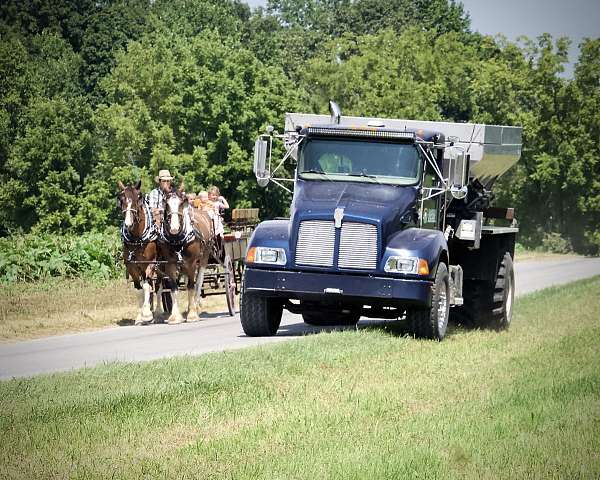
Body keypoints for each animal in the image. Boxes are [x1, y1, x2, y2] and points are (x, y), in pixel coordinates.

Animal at [116, 180, 159, 326]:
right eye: (121, 199)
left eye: (138, 198)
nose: (128, 224)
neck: (137, 238)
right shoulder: (132, 266)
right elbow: (139, 289)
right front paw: (140, 316)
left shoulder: (150, 264)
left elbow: (146, 286)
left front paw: (147, 315)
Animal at [159, 182, 216, 324]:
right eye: (166, 203)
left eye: (181, 203)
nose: (174, 228)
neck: (177, 239)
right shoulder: (170, 263)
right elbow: (174, 288)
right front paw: (175, 316)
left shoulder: (191, 263)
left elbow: (191, 286)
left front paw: (192, 314)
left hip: (203, 258)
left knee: (198, 283)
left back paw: (195, 306)